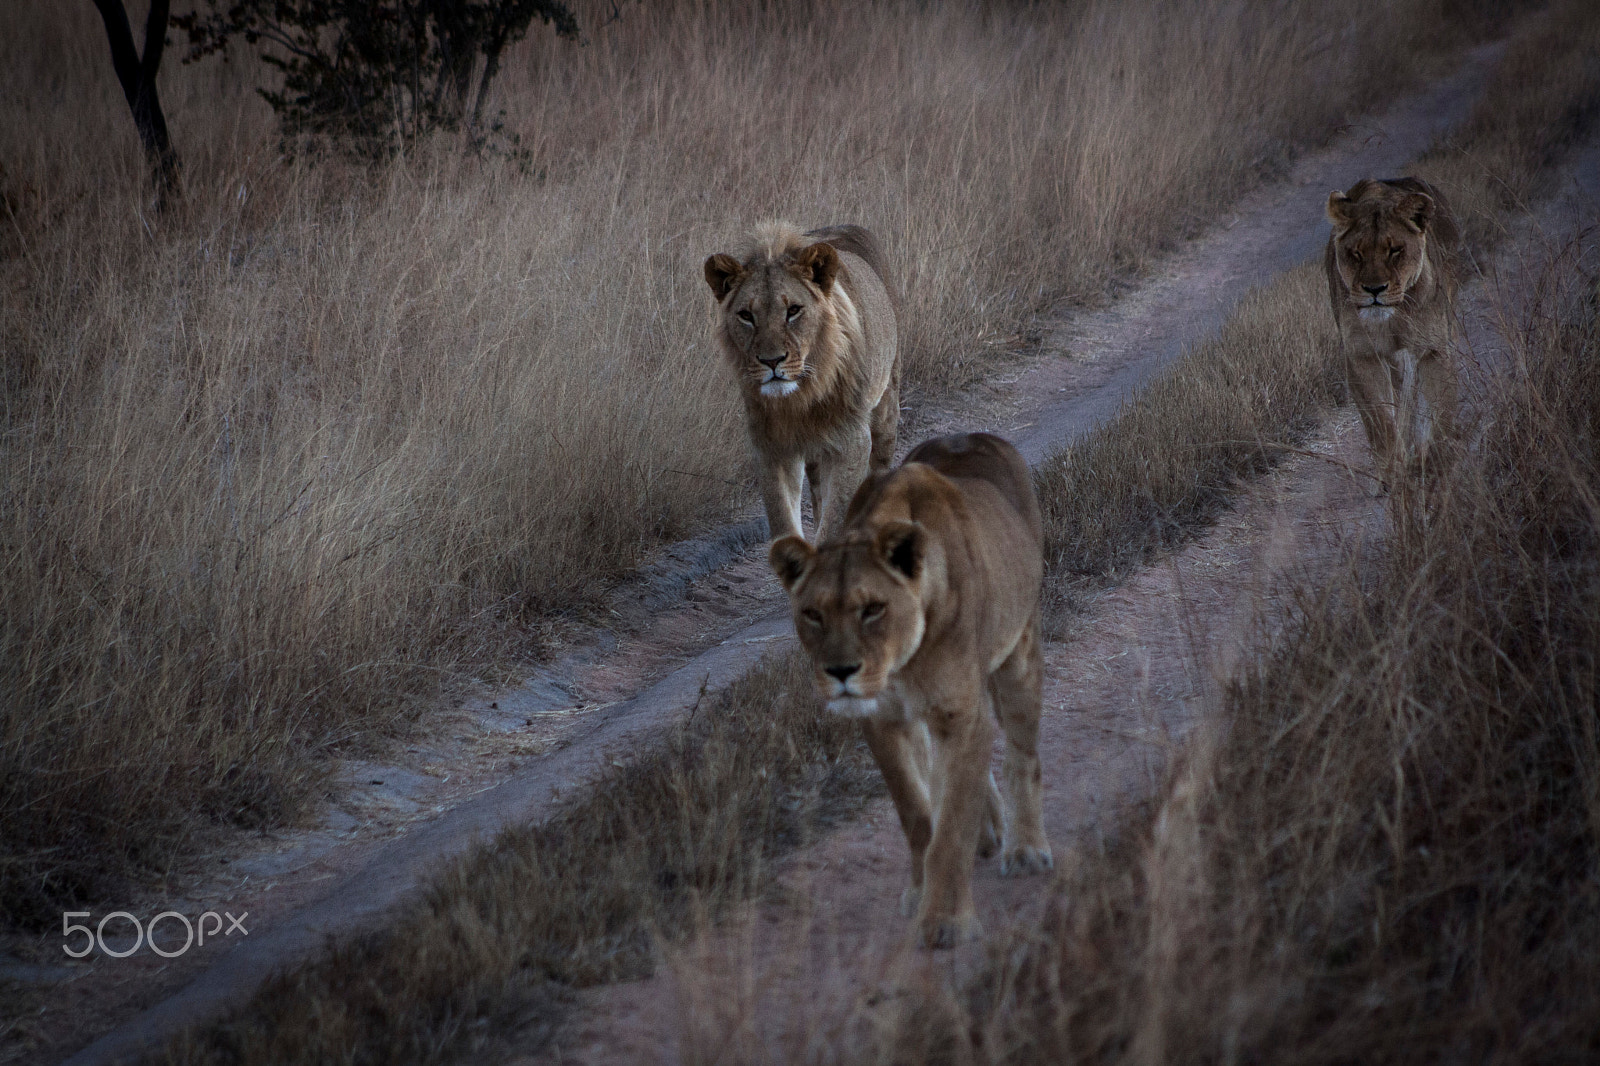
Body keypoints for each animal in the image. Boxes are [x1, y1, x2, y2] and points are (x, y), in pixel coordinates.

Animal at [704, 222, 900, 543]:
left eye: (793, 310)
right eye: (746, 315)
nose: (771, 361)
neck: (799, 398)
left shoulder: (851, 442)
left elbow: (834, 525)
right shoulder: (771, 447)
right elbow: (784, 522)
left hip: (885, 408)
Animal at [769, 432, 1052, 949]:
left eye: (873, 609)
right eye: (813, 614)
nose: (841, 671)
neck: (900, 664)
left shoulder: (961, 714)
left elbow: (951, 827)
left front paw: (946, 920)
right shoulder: (883, 719)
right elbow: (919, 816)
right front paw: (920, 893)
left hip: (1019, 650)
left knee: (1023, 754)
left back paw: (1025, 849)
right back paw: (990, 833)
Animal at [1325, 176, 1462, 484]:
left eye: (1395, 250)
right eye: (1356, 253)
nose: (1374, 289)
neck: (1394, 315)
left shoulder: (1434, 350)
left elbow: (1436, 413)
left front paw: (1433, 465)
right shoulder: (1363, 355)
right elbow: (1381, 419)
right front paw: (1392, 472)